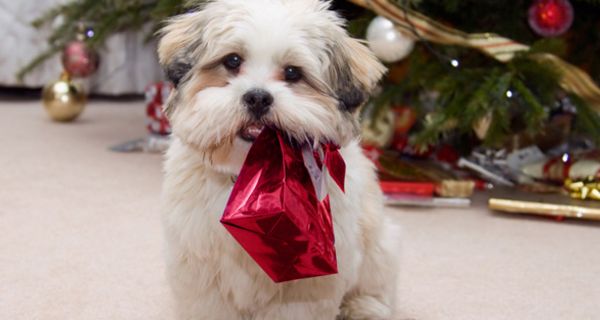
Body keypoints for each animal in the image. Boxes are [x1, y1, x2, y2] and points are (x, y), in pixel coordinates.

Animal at [161, 1, 398, 318]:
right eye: (232, 60)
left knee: (375, 287)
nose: (258, 97)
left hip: (380, 246)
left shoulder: (304, 283)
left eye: (292, 73)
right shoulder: (202, 271)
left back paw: (363, 307)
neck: (254, 178)